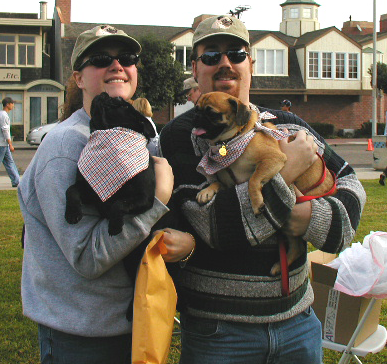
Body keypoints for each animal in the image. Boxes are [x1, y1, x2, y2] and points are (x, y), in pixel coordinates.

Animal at [65, 93, 158, 236]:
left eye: (124, 105)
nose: (107, 94)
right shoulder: (89, 192)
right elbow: (71, 190)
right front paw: (72, 212)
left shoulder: (144, 197)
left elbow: (119, 203)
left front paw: (115, 224)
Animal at [194, 91, 336, 276]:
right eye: (196, 109)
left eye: (211, 113)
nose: (196, 116)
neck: (233, 139)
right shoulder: (230, 183)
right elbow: (217, 184)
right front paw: (207, 191)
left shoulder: (272, 159)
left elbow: (253, 180)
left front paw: (256, 203)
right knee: (297, 247)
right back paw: (280, 267)